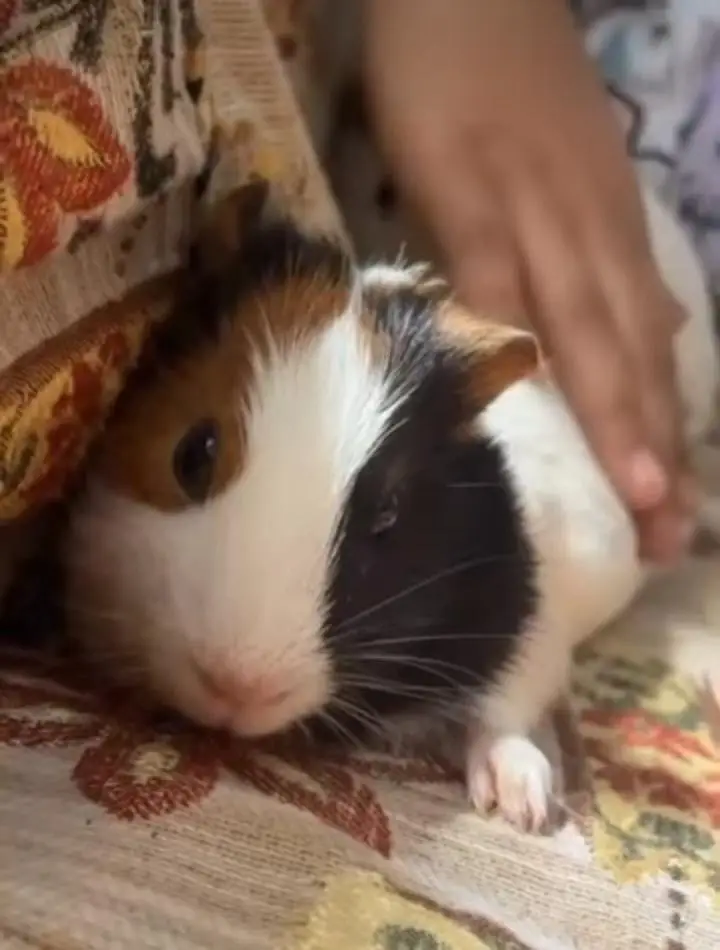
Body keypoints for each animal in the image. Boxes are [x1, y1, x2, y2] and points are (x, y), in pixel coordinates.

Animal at [63, 180, 718, 834]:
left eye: (389, 510)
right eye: (191, 455)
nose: (238, 688)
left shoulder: (536, 616)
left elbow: (506, 705)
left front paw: (520, 808)